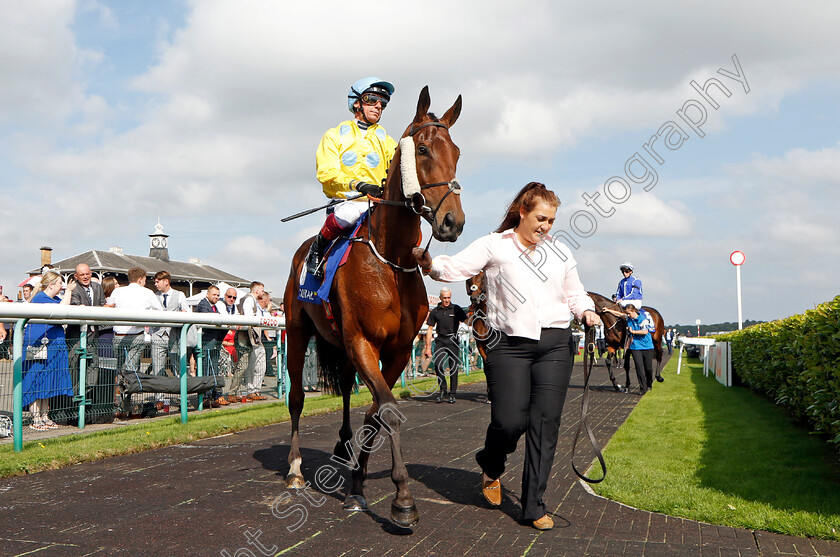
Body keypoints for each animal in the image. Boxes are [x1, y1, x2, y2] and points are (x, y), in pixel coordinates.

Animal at [282, 86, 466, 524]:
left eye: (457, 151)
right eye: (422, 149)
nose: (453, 222)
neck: (390, 260)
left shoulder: (395, 349)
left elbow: (376, 413)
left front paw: (357, 485)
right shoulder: (363, 341)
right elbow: (389, 411)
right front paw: (403, 499)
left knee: (347, 391)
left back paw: (341, 446)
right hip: (297, 332)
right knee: (296, 398)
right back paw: (295, 471)